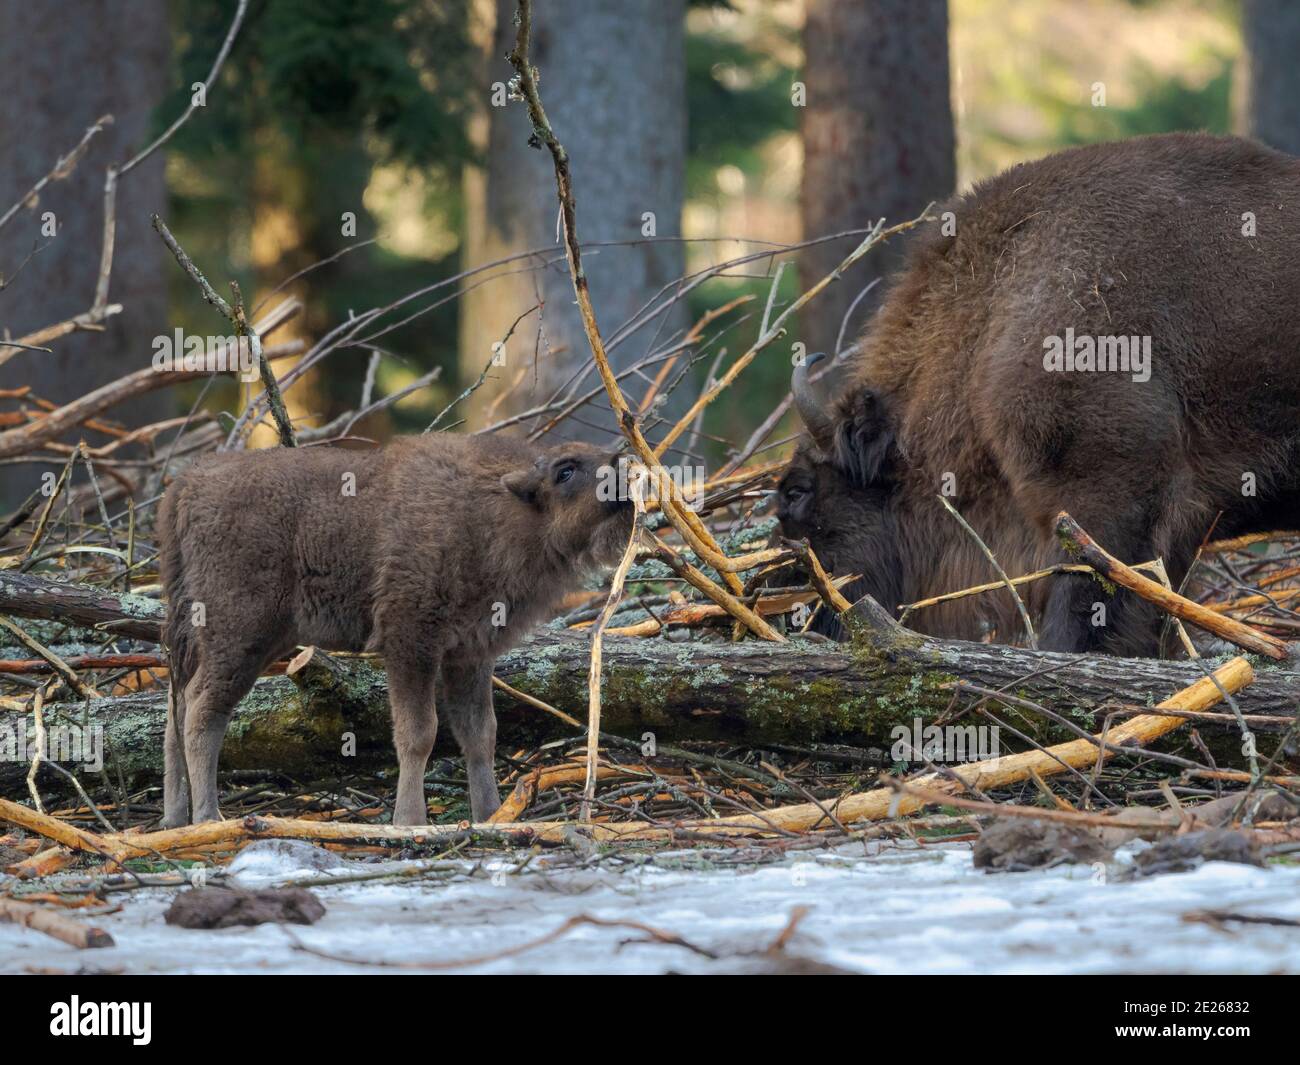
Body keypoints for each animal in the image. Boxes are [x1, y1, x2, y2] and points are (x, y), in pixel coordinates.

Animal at [157, 434, 634, 827]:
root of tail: (189, 482)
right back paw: (208, 817)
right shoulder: (412, 642)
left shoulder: (470, 655)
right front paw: (410, 821)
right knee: (202, 712)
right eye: (565, 470)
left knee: (176, 708)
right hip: (239, 636)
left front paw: (491, 815)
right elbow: (419, 732)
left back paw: (175, 819)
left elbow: (480, 734)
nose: (623, 465)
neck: (493, 507)